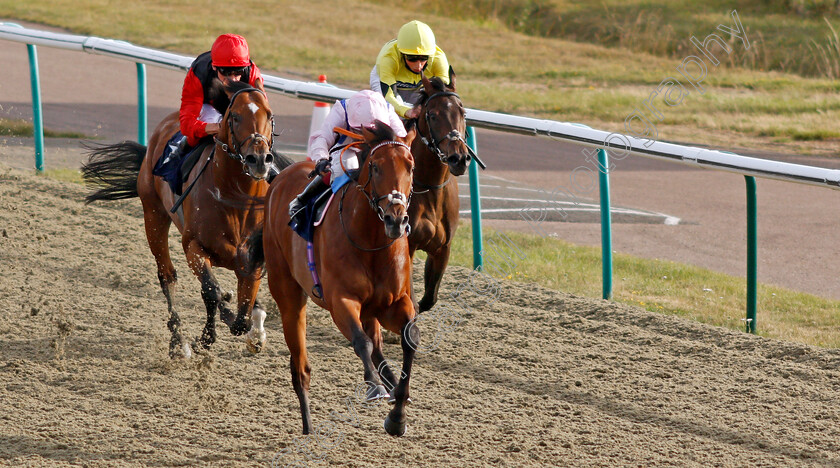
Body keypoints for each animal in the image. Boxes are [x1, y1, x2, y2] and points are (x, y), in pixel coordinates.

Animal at [84, 81, 288, 358]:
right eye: (235, 116)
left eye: (269, 115)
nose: (258, 159)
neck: (235, 198)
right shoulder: (193, 247)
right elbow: (212, 292)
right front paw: (206, 337)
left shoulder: (254, 258)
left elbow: (243, 315)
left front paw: (253, 331)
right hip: (154, 215)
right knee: (168, 276)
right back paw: (178, 342)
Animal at [253, 122, 416, 436]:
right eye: (375, 166)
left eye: (411, 166)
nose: (396, 219)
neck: (372, 243)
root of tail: (281, 178)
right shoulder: (341, 300)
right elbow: (361, 342)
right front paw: (374, 388)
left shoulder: (393, 303)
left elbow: (409, 339)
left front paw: (398, 416)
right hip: (289, 295)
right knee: (301, 368)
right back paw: (308, 429)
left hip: (370, 310)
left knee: (376, 344)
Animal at [408, 73, 472, 312]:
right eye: (433, 115)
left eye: (463, 113)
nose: (458, 159)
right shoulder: (406, 245)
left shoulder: (443, 249)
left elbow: (429, 299)